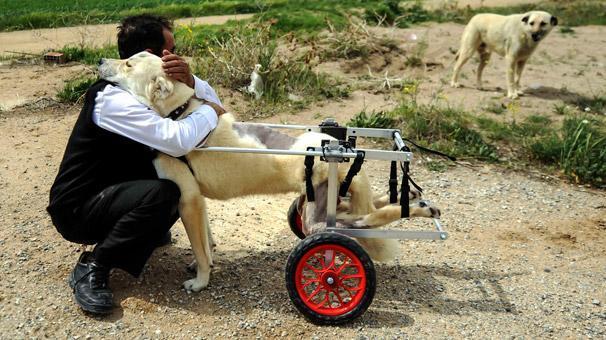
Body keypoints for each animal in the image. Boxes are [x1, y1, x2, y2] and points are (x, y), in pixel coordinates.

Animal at [98, 53, 442, 292]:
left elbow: (200, 247)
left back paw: (421, 209)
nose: (100, 61)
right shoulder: (198, 201)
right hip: (328, 202)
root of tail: (339, 147)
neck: (179, 112)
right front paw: (202, 262)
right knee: (371, 210)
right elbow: (206, 241)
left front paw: (201, 280)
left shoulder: (188, 201)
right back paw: (415, 198)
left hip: (318, 219)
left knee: (364, 222)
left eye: (128, 63)